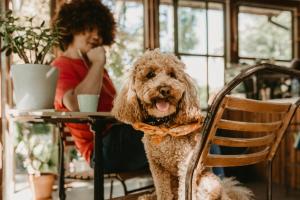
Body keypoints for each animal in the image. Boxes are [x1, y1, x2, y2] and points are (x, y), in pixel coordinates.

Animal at [112, 48, 253, 200]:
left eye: (172, 75)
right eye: (150, 74)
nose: (165, 89)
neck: (164, 126)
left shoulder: (184, 165)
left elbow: (183, 192)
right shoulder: (157, 167)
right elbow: (163, 192)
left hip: (209, 182)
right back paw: (147, 196)